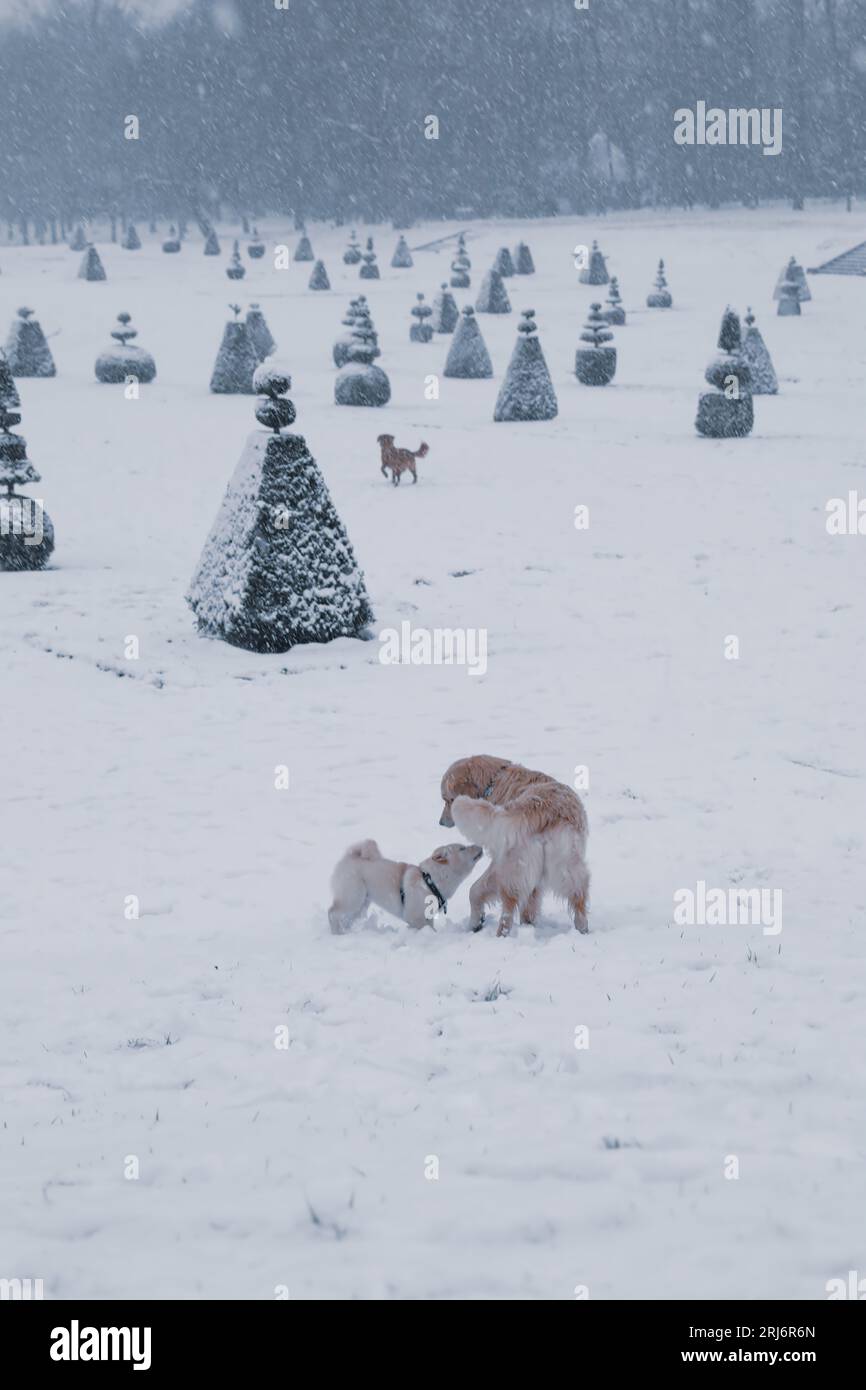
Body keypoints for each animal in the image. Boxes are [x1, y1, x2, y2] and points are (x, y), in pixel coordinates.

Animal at [328, 834, 483, 934]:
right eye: (462, 849)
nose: (480, 846)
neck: (432, 881)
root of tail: (349, 857)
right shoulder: (415, 918)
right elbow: (428, 930)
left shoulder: (427, 917)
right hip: (352, 898)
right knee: (332, 912)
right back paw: (337, 933)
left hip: (360, 905)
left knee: (346, 917)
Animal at [439, 756, 589, 939]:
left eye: (448, 800)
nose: (440, 822)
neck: (494, 780)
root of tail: (542, 808)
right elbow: (530, 904)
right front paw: (529, 924)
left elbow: (475, 891)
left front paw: (477, 921)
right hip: (567, 866)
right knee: (578, 898)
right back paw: (583, 930)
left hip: (510, 867)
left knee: (506, 907)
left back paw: (500, 936)